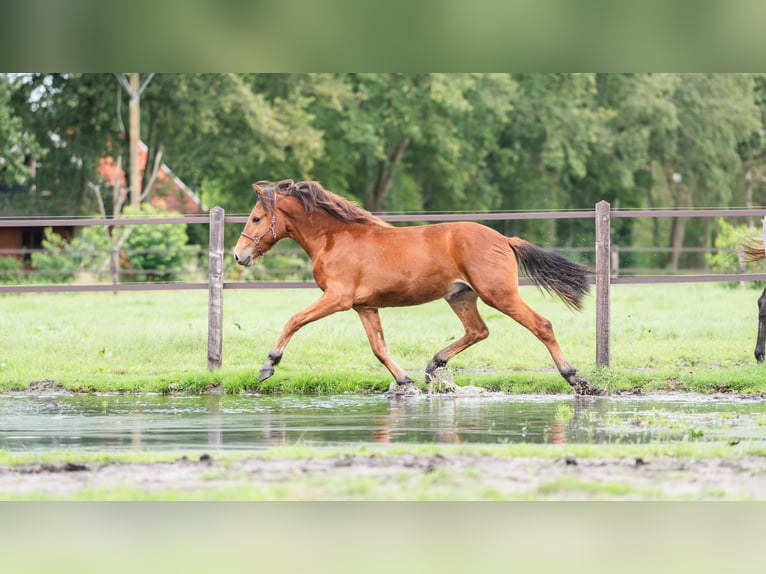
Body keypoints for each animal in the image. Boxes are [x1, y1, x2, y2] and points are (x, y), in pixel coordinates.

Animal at [233, 179, 602, 395]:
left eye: (255, 218)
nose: (239, 255)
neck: (335, 238)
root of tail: (503, 239)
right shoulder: (364, 306)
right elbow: (379, 348)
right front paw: (404, 381)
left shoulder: (337, 298)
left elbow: (294, 320)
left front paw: (268, 365)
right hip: (461, 296)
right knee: (478, 331)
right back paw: (434, 365)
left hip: (498, 294)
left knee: (542, 325)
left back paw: (576, 379)